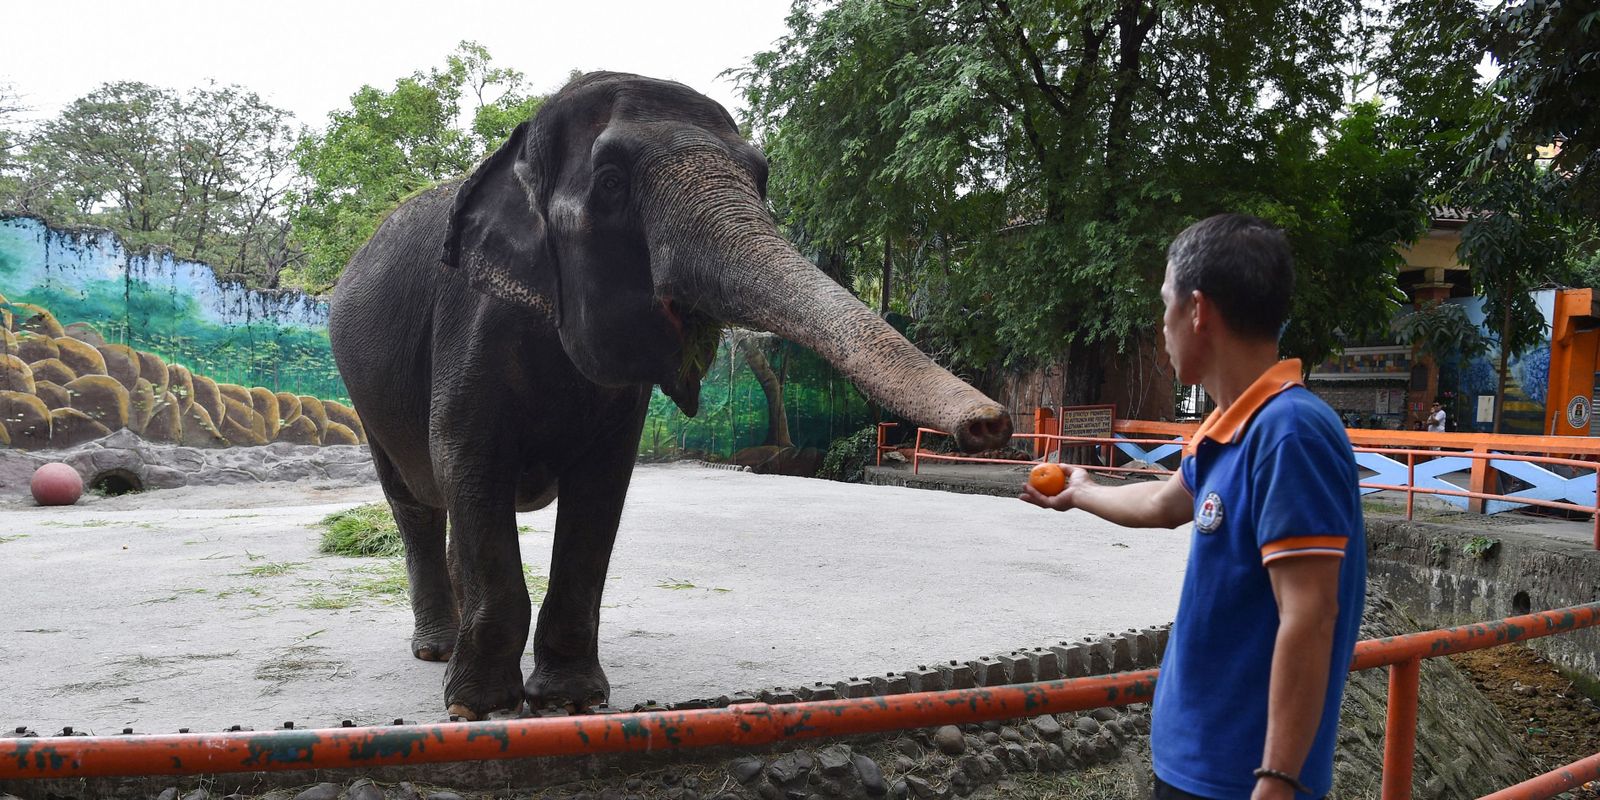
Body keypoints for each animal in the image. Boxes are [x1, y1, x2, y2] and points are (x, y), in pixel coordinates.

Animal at [328, 72, 1013, 720]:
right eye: (610, 184)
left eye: (761, 178)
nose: (991, 423)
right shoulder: (472, 322)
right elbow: (468, 460)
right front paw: (479, 708)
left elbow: (601, 486)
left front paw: (571, 703)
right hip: (363, 395)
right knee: (416, 501)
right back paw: (436, 651)